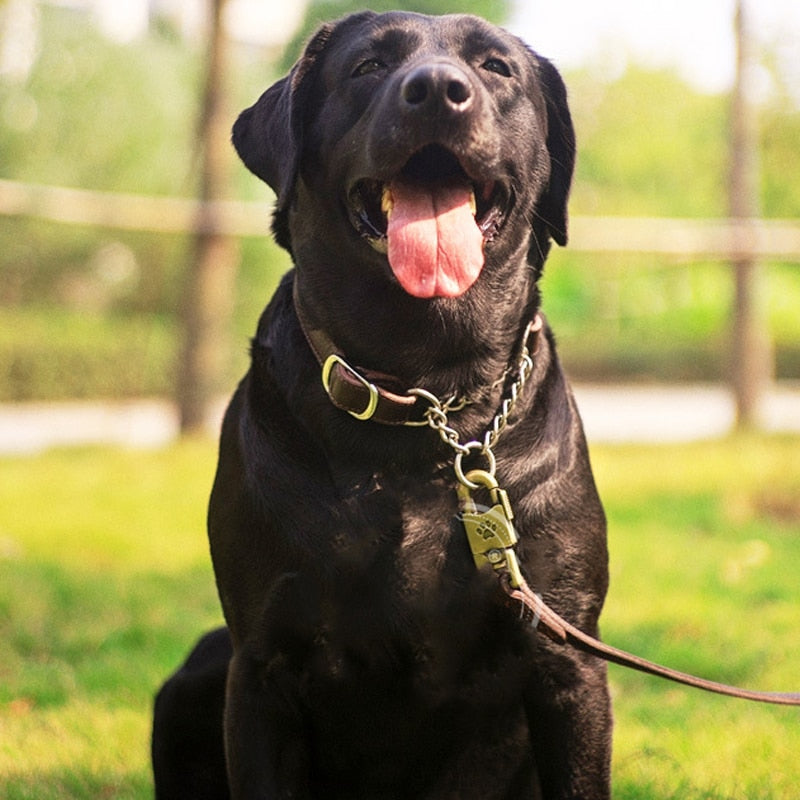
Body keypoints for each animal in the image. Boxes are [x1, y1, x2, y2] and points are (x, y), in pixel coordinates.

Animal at [152, 10, 612, 800]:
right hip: (198, 672)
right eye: (368, 66)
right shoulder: (261, 667)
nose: (437, 91)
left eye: (495, 67)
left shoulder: (568, 658)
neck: (425, 396)